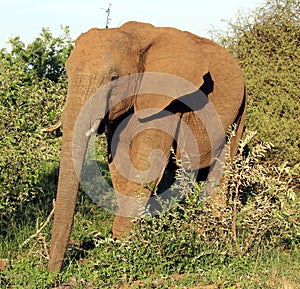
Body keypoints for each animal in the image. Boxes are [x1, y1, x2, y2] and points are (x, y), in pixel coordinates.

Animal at [48, 21, 246, 272]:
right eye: (67, 73)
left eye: (114, 78)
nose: (52, 273)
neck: (133, 39)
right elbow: (120, 164)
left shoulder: (166, 101)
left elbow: (146, 163)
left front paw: (124, 249)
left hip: (239, 109)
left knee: (223, 167)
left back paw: (215, 237)